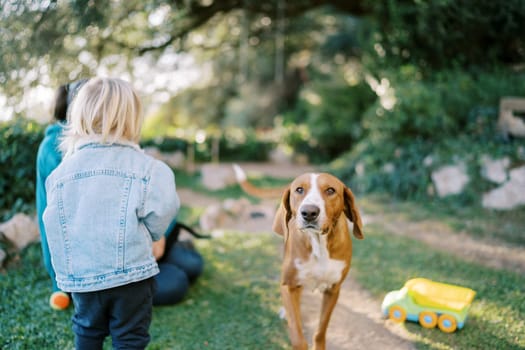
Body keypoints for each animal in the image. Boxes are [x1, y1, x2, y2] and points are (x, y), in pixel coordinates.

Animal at [272, 172, 362, 350]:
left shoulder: (333, 290)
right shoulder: (288, 285)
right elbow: (297, 335)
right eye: (299, 189)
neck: (318, 243)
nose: (309, 212)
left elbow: (321, 329)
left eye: (330, 190)